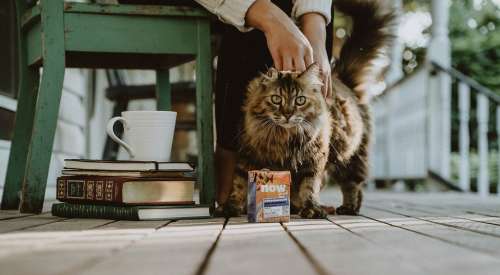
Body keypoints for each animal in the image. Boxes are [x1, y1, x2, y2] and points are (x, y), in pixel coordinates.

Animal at [224, 0, 394, 220]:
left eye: (300, 100)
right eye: (276, 99)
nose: (288, 113)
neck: (283, 138)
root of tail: (343, 79)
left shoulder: (313, 159)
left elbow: (309, 186)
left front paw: (312, 208)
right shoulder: (247, 156)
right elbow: (238, 184)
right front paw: (232, 207)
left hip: (351, 156)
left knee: (353, 185)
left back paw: (348, 207)